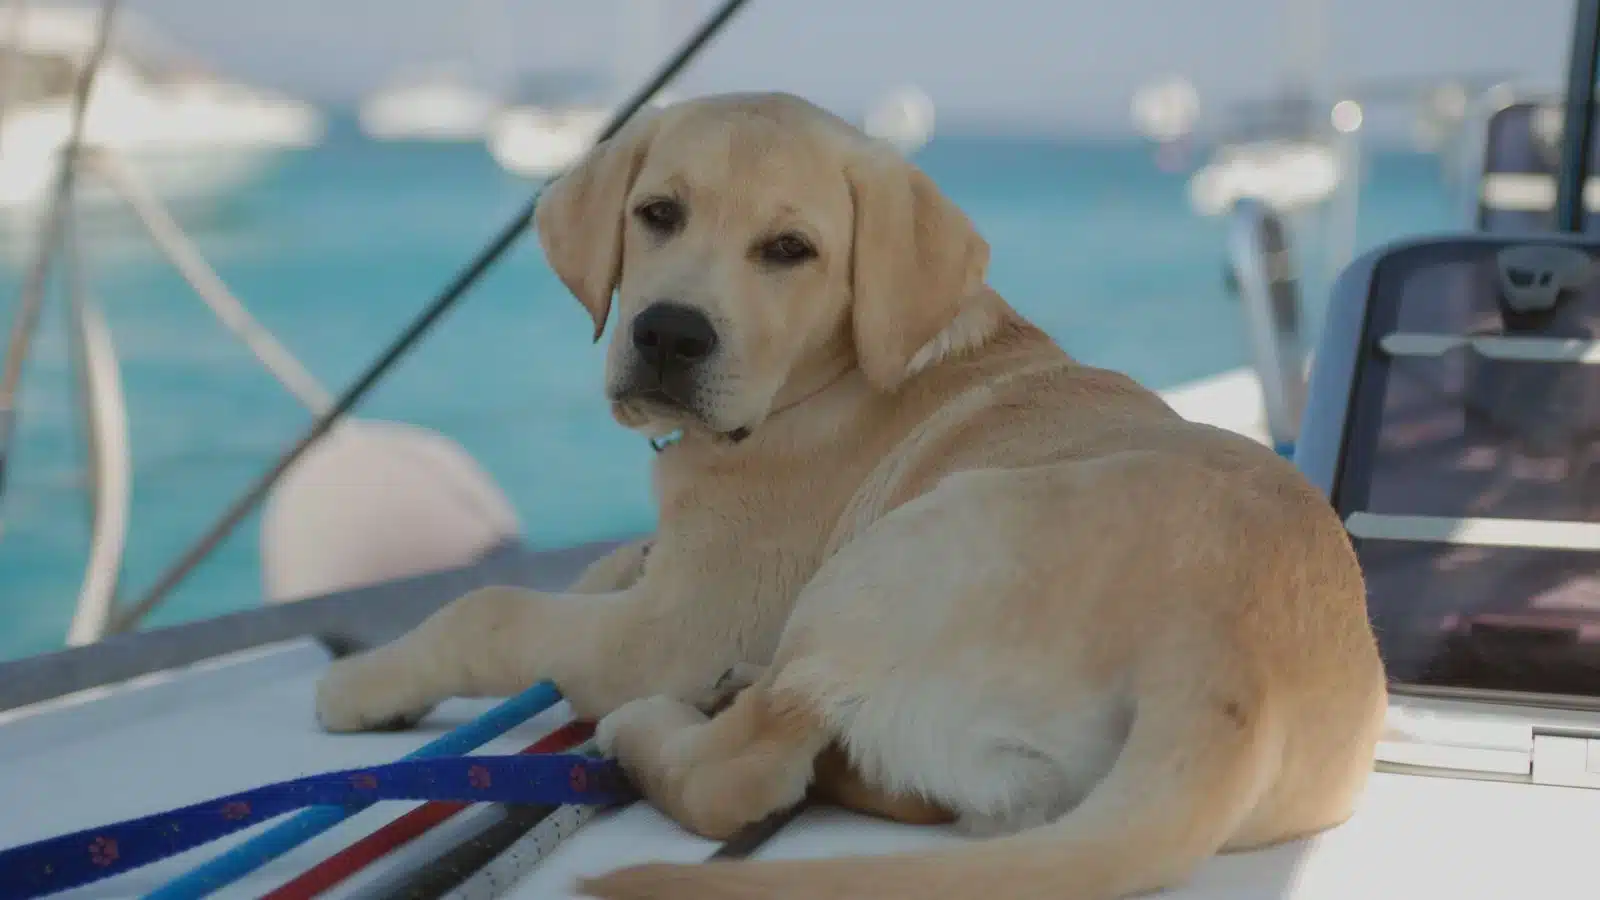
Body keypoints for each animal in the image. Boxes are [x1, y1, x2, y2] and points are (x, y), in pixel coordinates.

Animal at [315, 92, 1388, 896]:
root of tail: (1224, 672)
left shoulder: (668, 629)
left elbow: (488, 608)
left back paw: (654, 731)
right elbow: (604, 565)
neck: (821, 382)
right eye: (657, 213)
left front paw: (365, 683)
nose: (668, 334)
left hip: (892, 554)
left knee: (744, 772)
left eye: (790, 250)